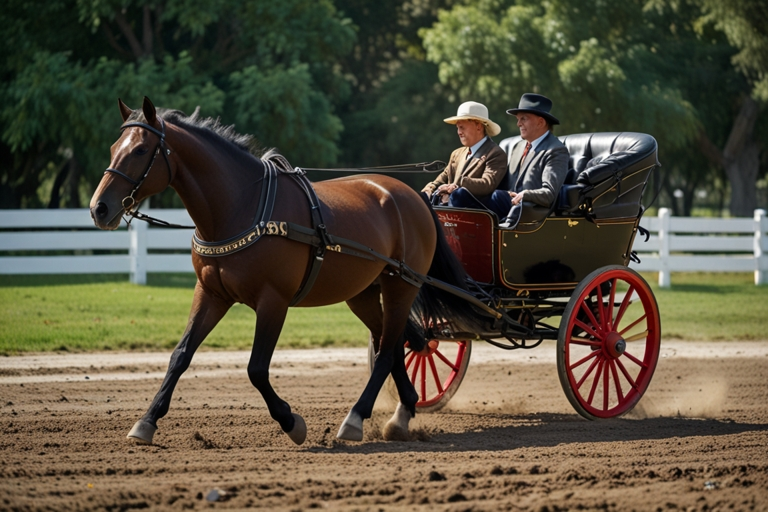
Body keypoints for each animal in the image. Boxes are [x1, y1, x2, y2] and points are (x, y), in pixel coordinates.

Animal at [88, 98, 474, 446]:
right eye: (113, 147)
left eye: (140, 150)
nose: (99, 208)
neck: (242, 207)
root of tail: (412, 195)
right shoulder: (210, 294)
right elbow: (180, 356)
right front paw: (146, 421)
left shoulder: (273, 301)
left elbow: (256, 369)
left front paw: (291, 422)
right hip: (363, 293)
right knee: (395, 345)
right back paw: (404, 412)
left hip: (401, 287)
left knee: (386, 353)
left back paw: (355, 418)